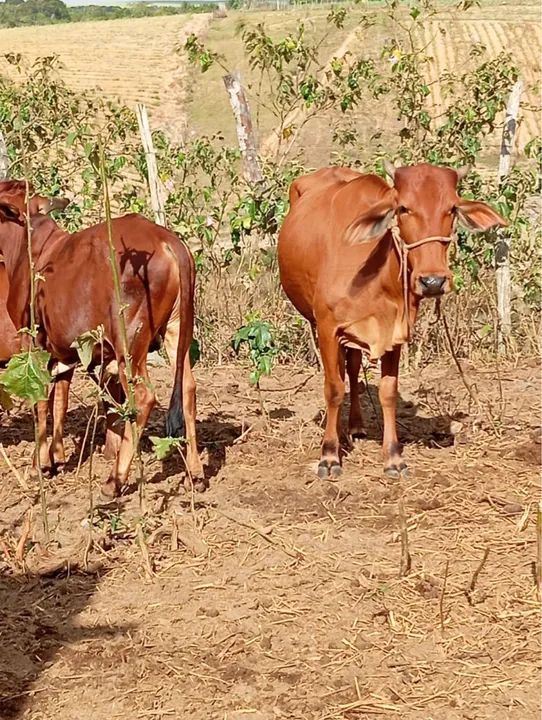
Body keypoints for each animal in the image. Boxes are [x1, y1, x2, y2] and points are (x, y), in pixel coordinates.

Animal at [0, 180, 203, 497]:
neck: (28, 246)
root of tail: (167, 241)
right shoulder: (63, 353)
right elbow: (59, 402)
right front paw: (54, 460)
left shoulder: (32, 346)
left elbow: (40, 402)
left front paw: (39, 466)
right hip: (176, 330)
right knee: (188, 389)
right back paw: (196, 473)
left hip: (128, 344)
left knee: (144, 397)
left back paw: (114, 480)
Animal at [278, 162, 507, 480]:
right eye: (403, 208)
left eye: (452, 208)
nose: (433, 281)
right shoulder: (327, 327)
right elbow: (333, 389)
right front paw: (329, 455)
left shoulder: (395, 333)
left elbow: (388, 392)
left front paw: (393, 457)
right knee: (340, 373)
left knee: (352, 367)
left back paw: (356, 426)